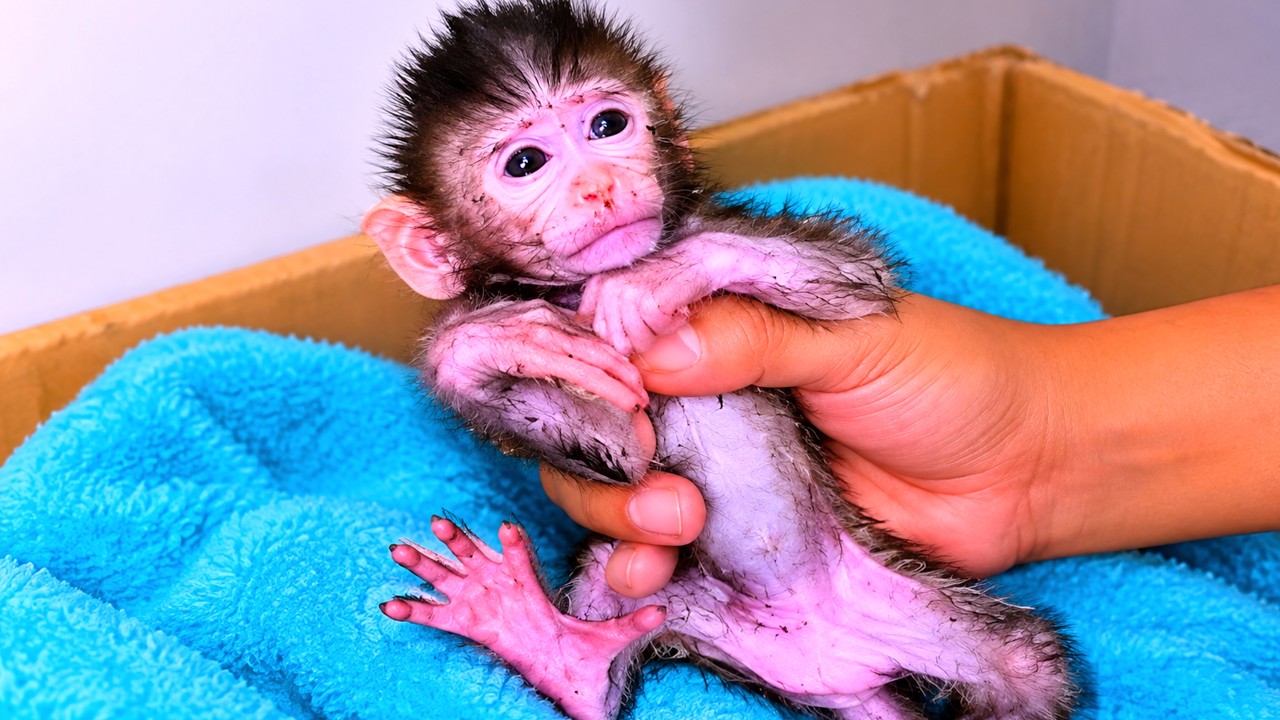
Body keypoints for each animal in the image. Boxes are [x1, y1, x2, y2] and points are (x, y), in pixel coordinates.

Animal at [362, 2, 1078, 718]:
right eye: (526, 162)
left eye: (607, 125)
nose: (598, 184)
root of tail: (830, 663)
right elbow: (624, 449)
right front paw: (499, 341)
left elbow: (857, 278)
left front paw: (655, 277)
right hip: (681, 610)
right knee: (595, 673)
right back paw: (542, 639)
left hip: (913, 605)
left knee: (1026, 664)